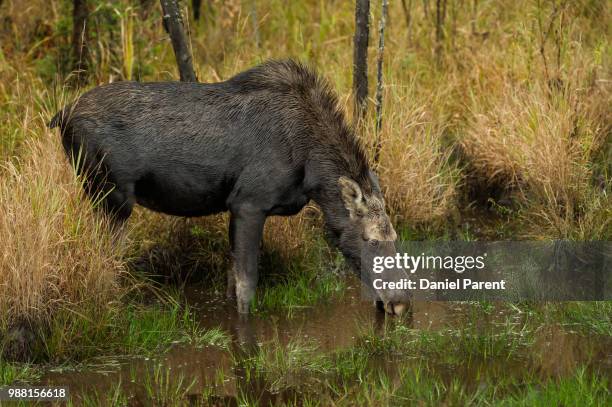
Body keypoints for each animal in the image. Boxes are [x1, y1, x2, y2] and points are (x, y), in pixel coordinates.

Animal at [50, 59, 408, 316]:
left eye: (395, 237)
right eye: (372, 240)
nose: (401, 302)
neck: (310, 170)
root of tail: (61, 115)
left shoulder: (236, 209)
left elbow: (230, 283)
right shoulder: (248, 203)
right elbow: (247, 288)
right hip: (112, 196)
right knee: (104, 258)